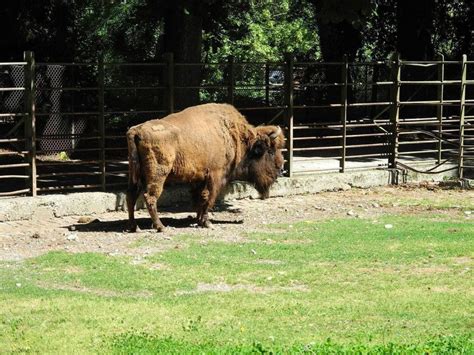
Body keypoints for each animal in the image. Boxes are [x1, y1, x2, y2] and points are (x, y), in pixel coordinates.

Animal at [126, 103, 286, 231]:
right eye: (270, 151)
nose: (281, 169)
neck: (234, 135)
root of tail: (136, 131)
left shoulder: (200, 178)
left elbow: (200, 198)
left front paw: (199, 220)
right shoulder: (216, 176)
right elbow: (209, 198)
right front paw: (207, 222)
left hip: (136, 175)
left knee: (131, 196)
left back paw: (134, 227)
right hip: (157, 175)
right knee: (150, 197)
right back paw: (160, 227)